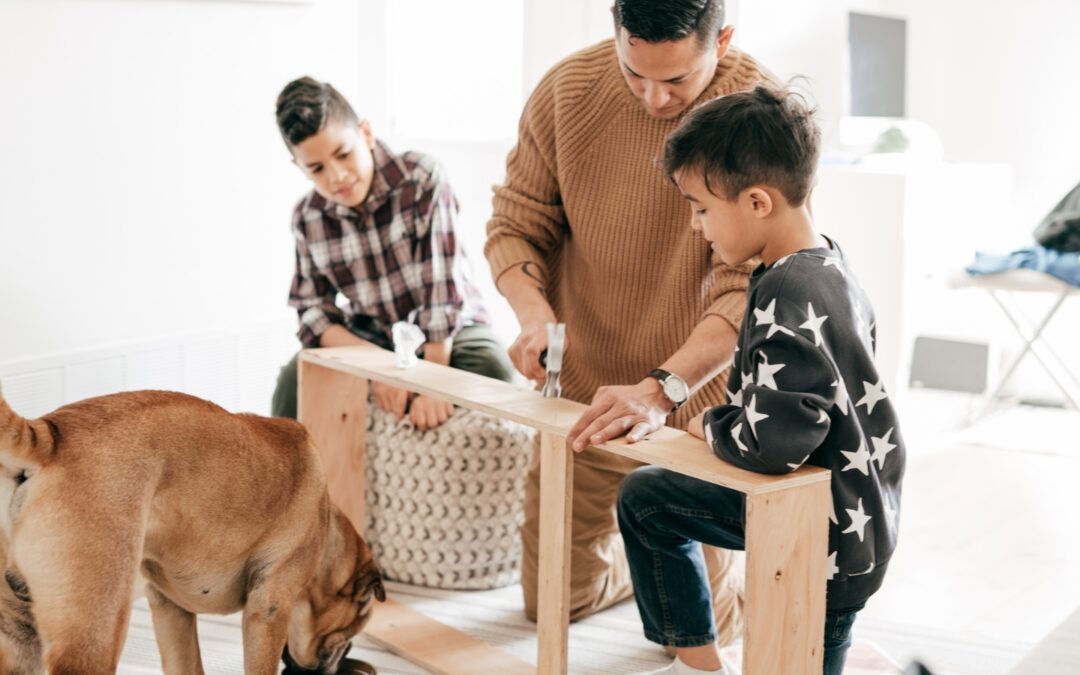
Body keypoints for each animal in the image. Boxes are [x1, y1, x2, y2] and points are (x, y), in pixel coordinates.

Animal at [0, 386, 386, 673]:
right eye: (351, 628)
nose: (345, 656)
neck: (327, 527)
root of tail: (47, 436)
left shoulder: (170, 609)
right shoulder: (269, 608)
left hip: (20, 636)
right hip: (94, 633)